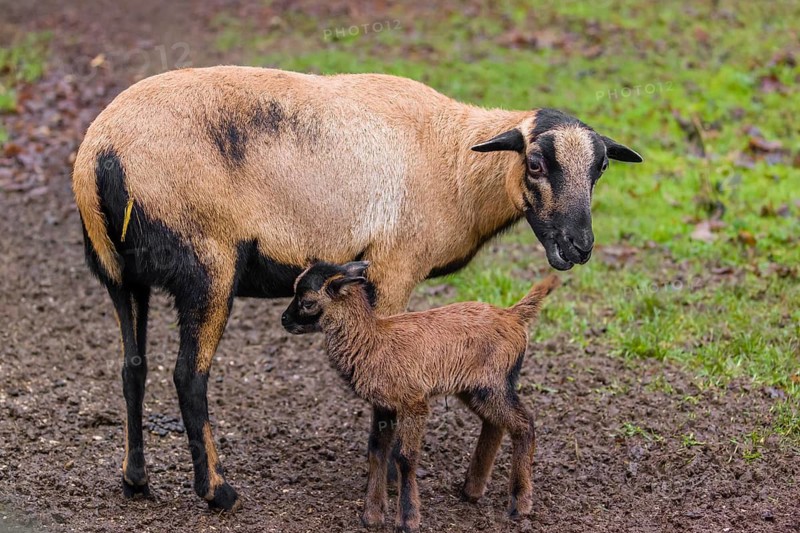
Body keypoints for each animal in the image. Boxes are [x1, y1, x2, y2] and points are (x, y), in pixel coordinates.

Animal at [280, 260, 560, 532]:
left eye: (307, 302)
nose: (284, 320)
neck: (372, 341)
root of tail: (513, 314)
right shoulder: (384, 405)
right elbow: (377, 450)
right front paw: (372, 516)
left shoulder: (414, 402)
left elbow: (404, 456)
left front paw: (407, 520)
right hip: (474, 388)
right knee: (495, 424)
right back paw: (471, 492)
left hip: (494, 384)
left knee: (524, 424)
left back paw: (519, 505)